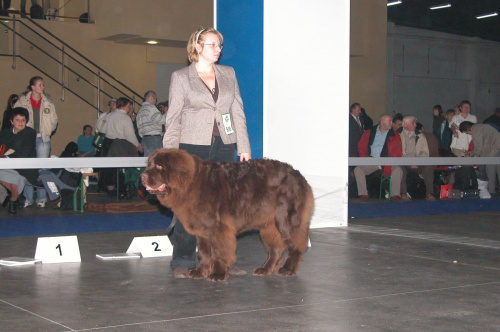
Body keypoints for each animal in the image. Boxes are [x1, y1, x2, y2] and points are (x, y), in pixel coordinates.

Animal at [142, 149, 312, 282]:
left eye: (159, 166)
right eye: (148, 165)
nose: (143, 176)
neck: (191, 183)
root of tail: (298, 175)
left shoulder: (218, 228)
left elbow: (219, 251)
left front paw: (217, 273)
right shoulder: (202, 229)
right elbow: (204, 253)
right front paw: (200, 272)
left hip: (286, 219)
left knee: (295, 245)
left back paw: (287, 269)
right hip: (268, 224)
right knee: (276, 248)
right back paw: (265, 269)